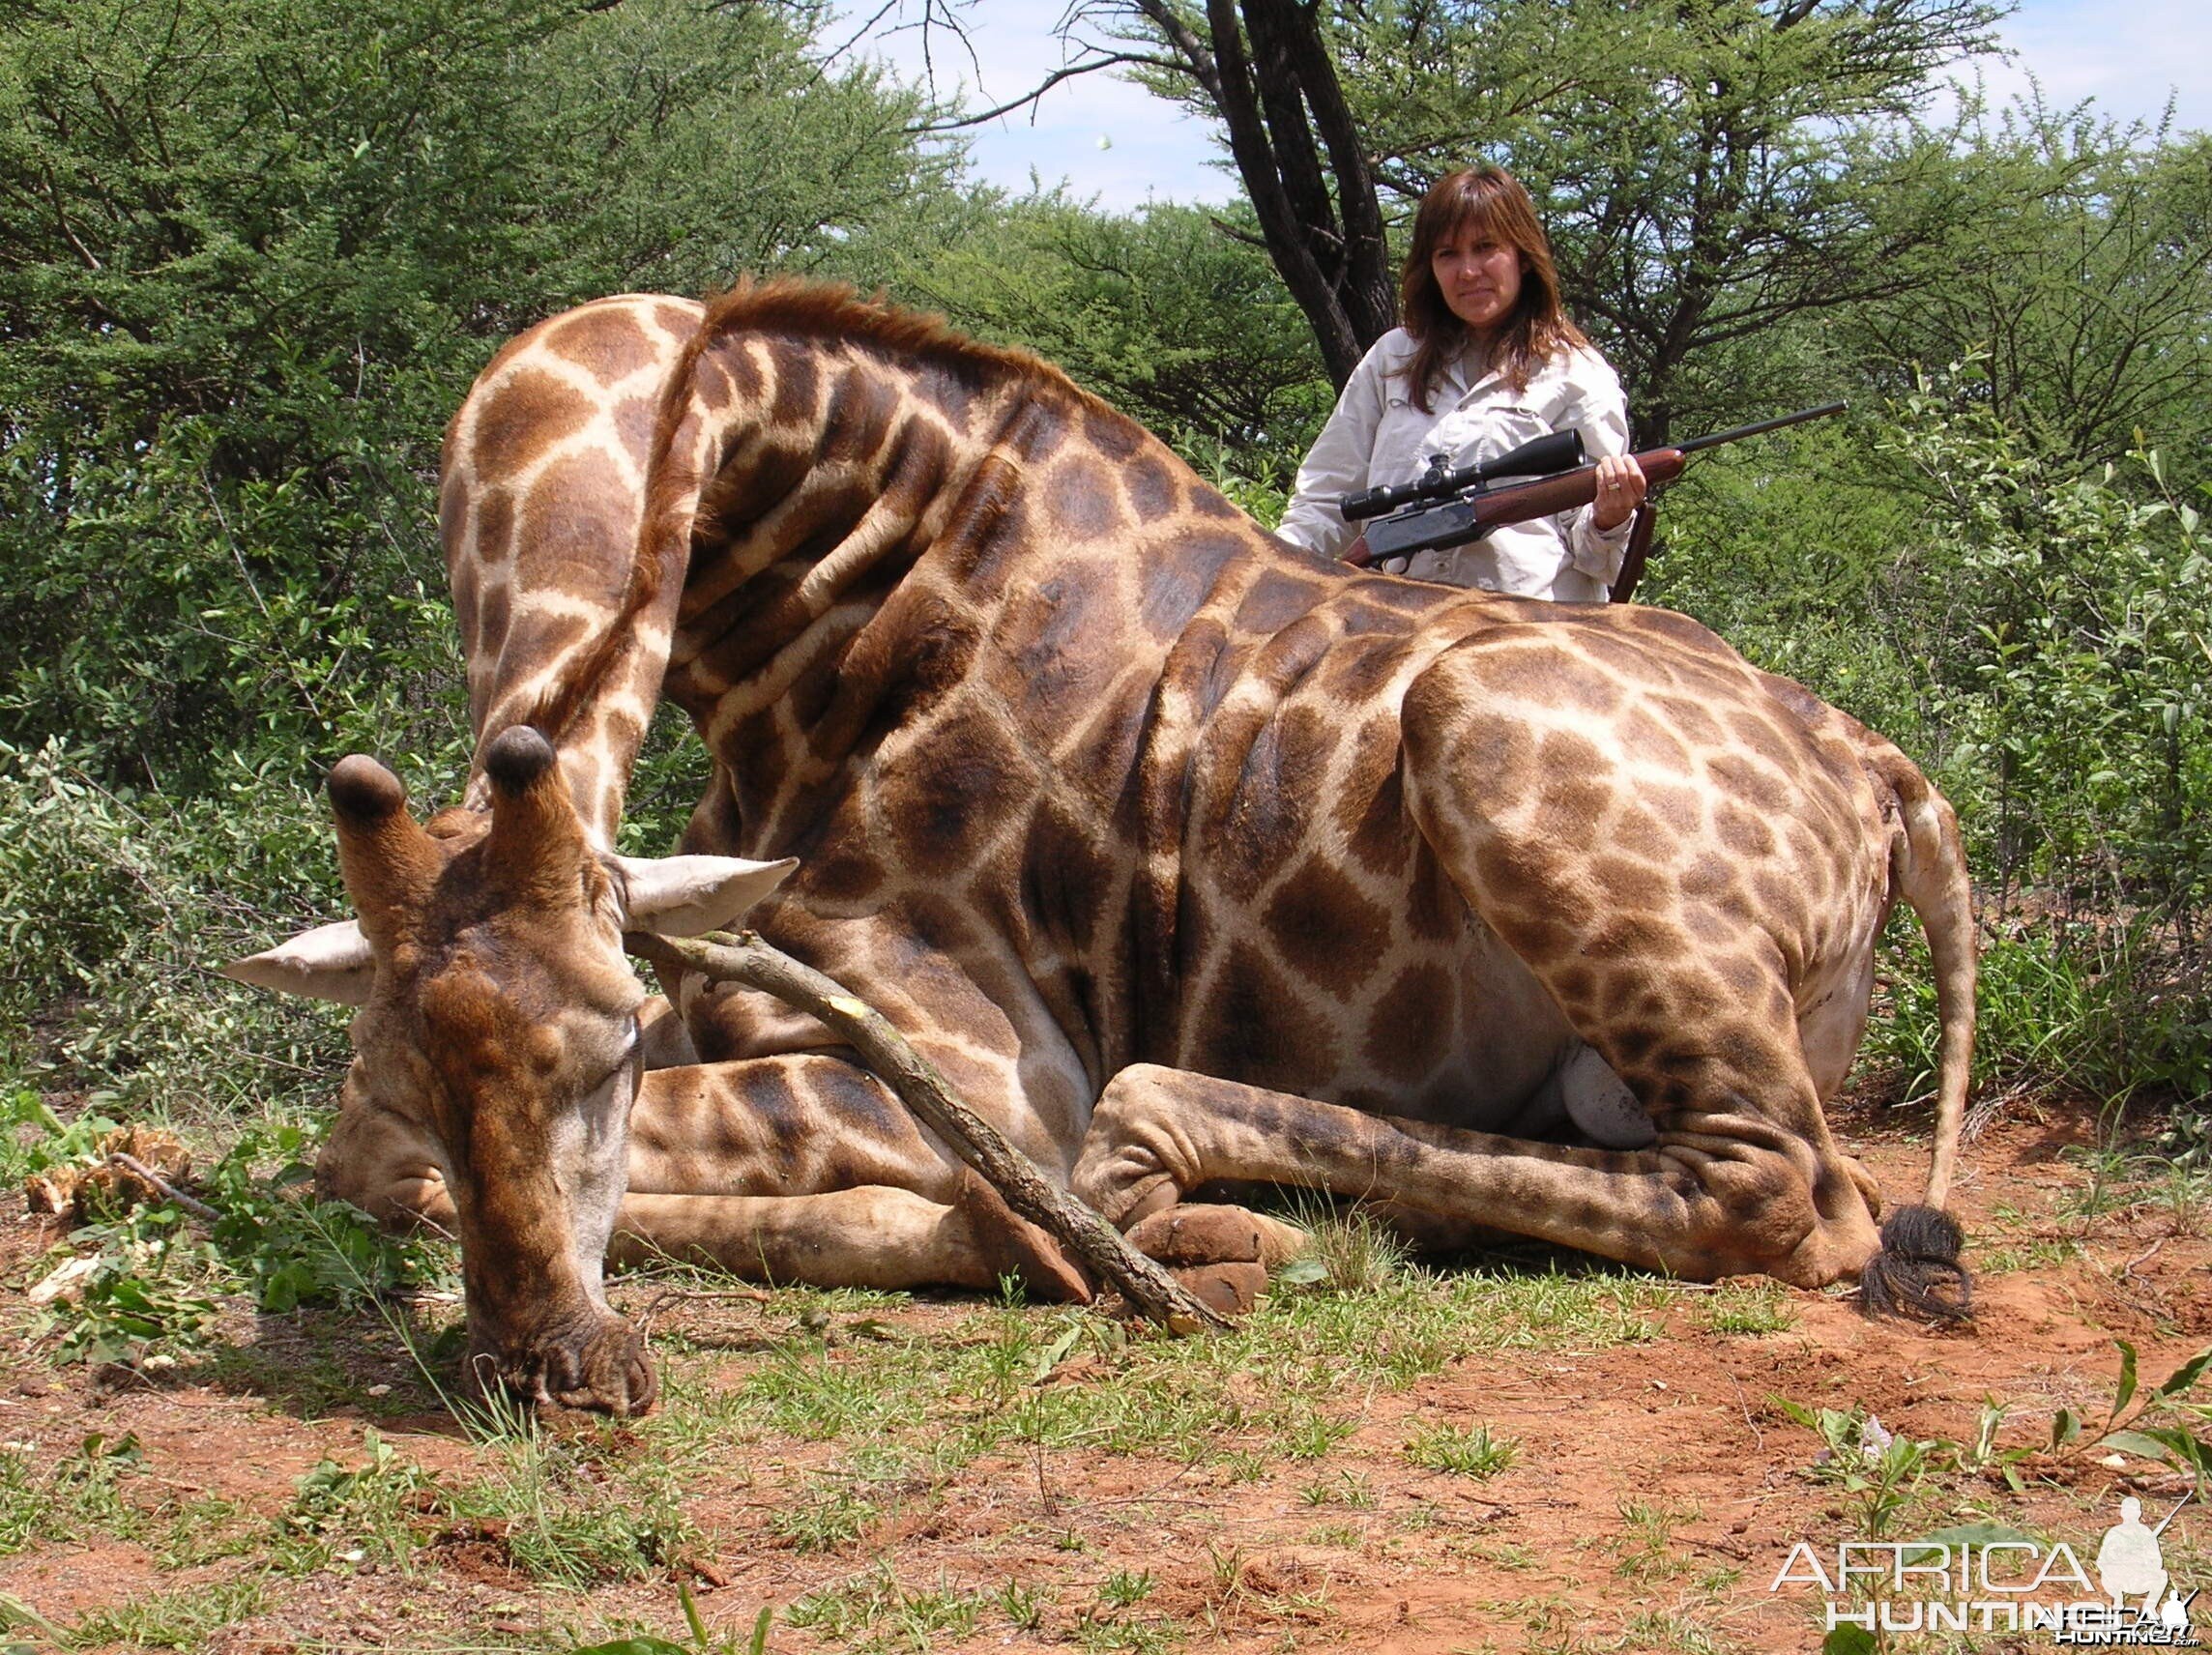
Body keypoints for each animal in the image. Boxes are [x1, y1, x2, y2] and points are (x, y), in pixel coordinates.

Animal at [233, 280, 1982, 1407]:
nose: (551, 1369)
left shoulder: (985, 1064)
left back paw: (1183, 1186)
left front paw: (1105, 1240)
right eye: (417, 1049)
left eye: (600, 1051)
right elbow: (363, 1154)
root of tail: (1891, 777)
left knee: (1780, 1195)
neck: (795, 633)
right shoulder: (718, 969)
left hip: (1482, 732)